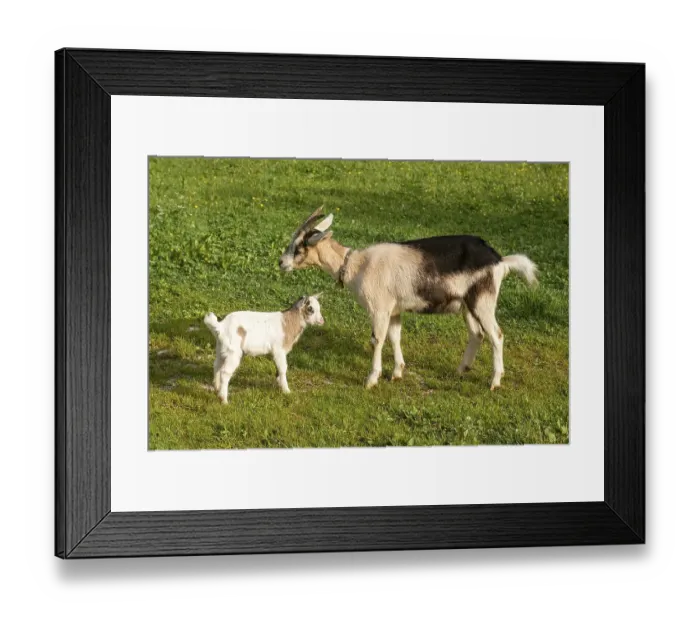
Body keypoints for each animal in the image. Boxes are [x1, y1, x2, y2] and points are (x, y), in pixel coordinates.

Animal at [278, 208, 537, 390]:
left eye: (299, 247)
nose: (281, 263)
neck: (356, 265)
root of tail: (499, 260)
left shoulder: (379, 308)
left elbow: (377, 340)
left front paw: (371, 379)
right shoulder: (393, 309)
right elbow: (395, 337)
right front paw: (397, 373)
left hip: (483, 300)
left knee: (496, 335)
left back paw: (494, 382)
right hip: (467, 305)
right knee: (477, 334)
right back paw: (460, 370)